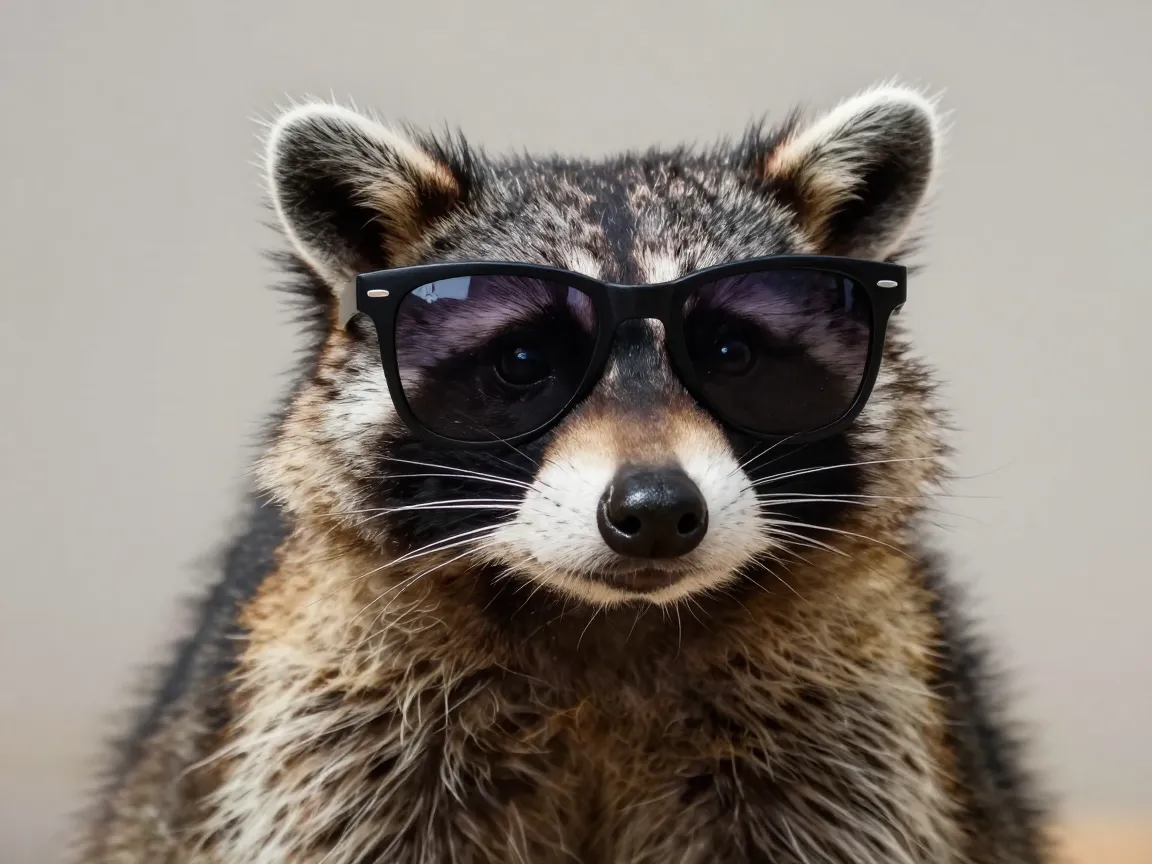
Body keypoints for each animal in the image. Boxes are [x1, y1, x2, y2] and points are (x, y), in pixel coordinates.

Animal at [79, 84, 1053, 863]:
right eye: (521, 363)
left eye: (731, 354)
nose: (656, 510)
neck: (606, 627)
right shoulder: (340, 725)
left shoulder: (850, 723)